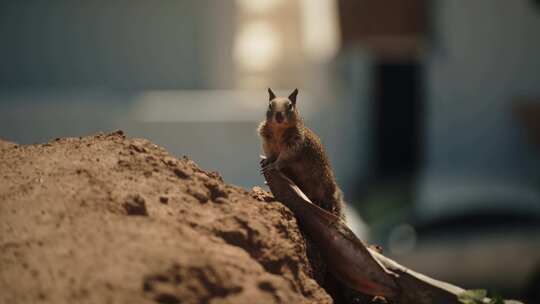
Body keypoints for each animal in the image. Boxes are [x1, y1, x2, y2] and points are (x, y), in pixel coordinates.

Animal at [258, 88, 346, 218]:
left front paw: (273, 165)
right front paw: (267, 160)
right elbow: (270, 154)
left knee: (330, 197)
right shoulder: (267, 142)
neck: (279, 130)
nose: (279, 116)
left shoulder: (295, 145)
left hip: (324, 182)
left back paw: (324, 203)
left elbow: (284, 158)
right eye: (270, 105)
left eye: (290, 106)